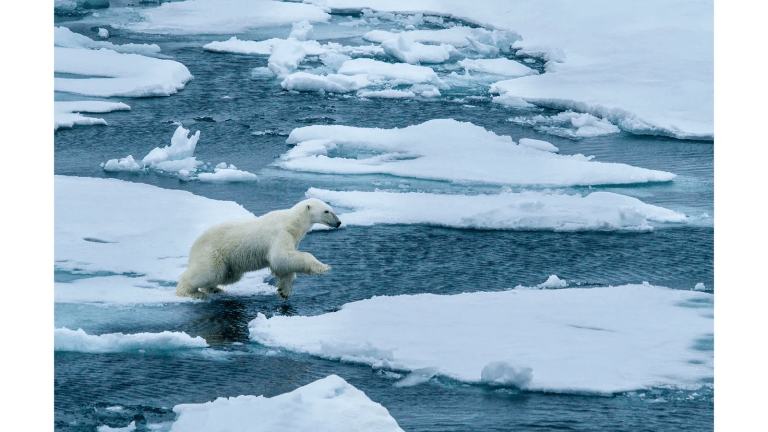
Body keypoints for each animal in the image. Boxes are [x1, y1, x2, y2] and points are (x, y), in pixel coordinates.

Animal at [175, 198, 341, 301]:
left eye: (331, 209)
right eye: (326, 211)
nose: (339, 222)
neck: (293, 223)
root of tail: (194, 245)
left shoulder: (292, 238)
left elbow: (283, 266)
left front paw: (284, 291)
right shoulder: (280, 233)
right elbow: (281, 257)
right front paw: (324, 266)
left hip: (228, 262)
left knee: (226, 275)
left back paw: (215, 289)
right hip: (213, 251)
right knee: (206, 272)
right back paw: (191, 292)